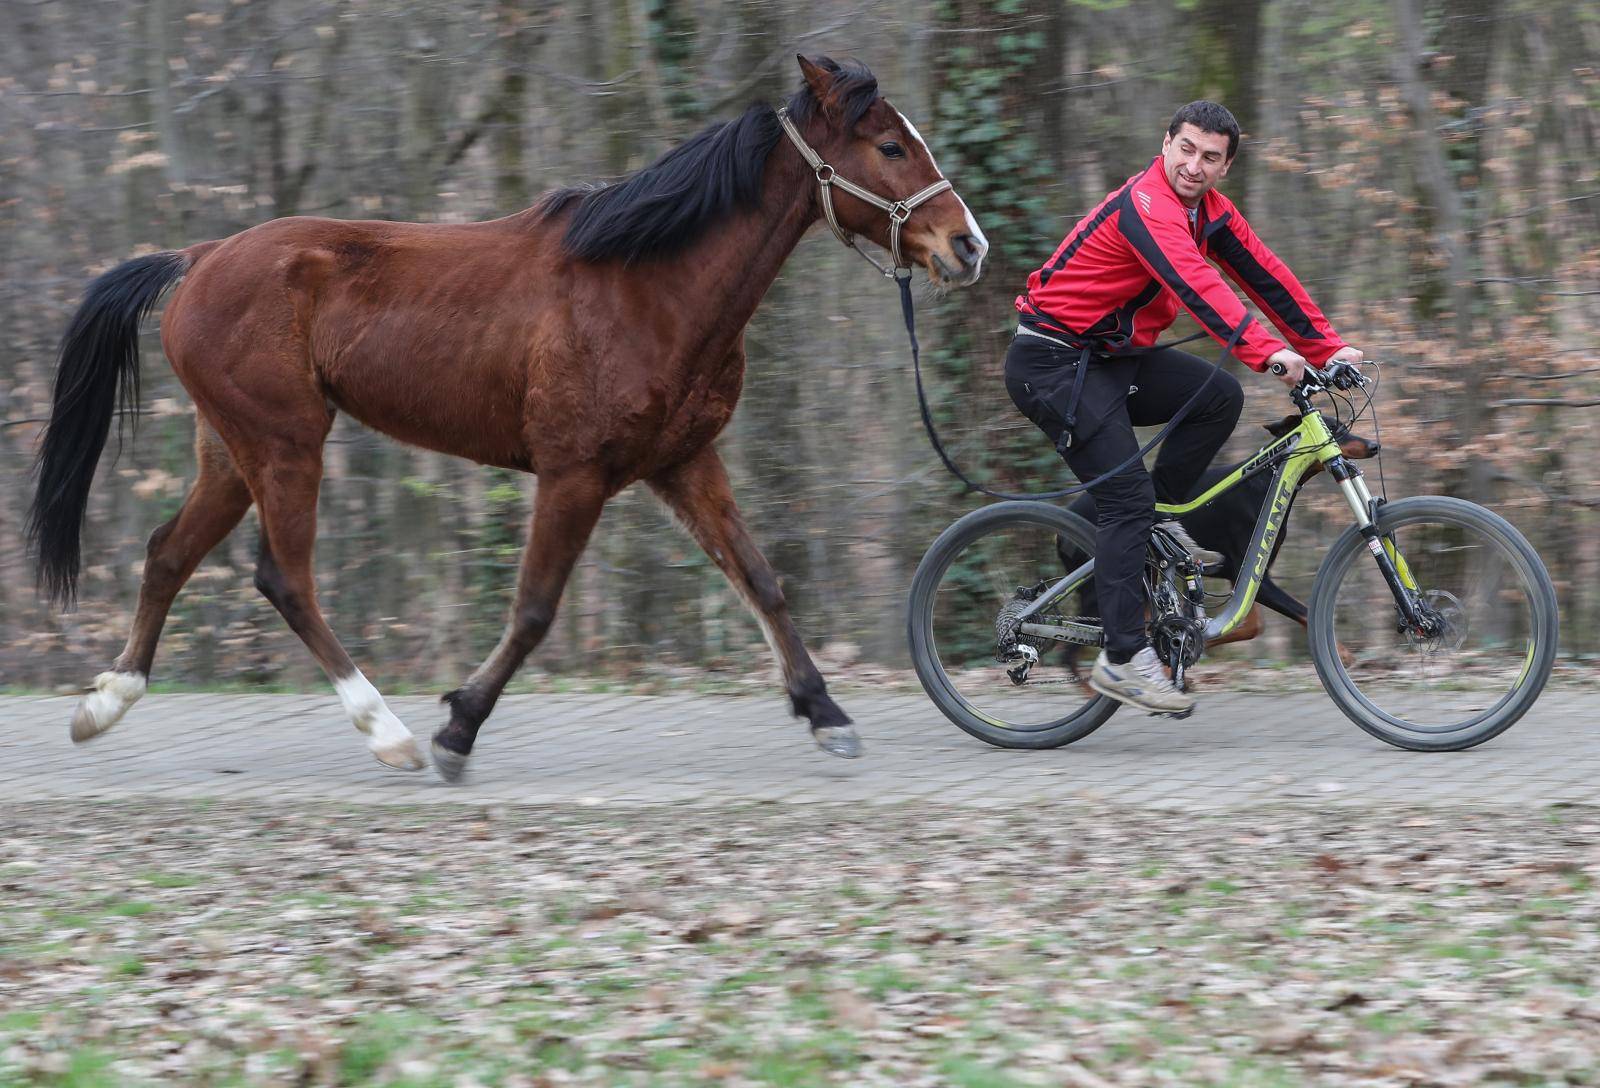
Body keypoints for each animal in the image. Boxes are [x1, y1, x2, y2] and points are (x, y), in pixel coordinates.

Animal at [28, 57, 985, 774]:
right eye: (890, 143)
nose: (967, 246)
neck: (647, 286)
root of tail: (198, 259)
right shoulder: (574, 475)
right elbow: (533, 609)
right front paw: (458, 725)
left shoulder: (684, 465)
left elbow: (762, 582)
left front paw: (826, 713)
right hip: (286, 445)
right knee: (285, 579)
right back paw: (390, 734)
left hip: (232, 453)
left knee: (168, 553)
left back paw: (102, 705)